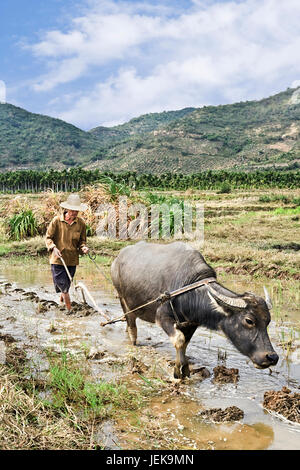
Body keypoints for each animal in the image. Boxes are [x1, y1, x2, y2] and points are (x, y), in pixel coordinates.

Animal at [110, 242, 278, 378]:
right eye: (249, 320)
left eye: (268, 321)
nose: (272, 357)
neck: (189, 291)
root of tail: (117, 258)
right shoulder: (162, 317)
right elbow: (179, 340)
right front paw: (177, 371)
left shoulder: (191, 323)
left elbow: (185, 343)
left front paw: (185, 369)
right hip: (123, 300)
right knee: (132, 326)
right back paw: (133, 343)